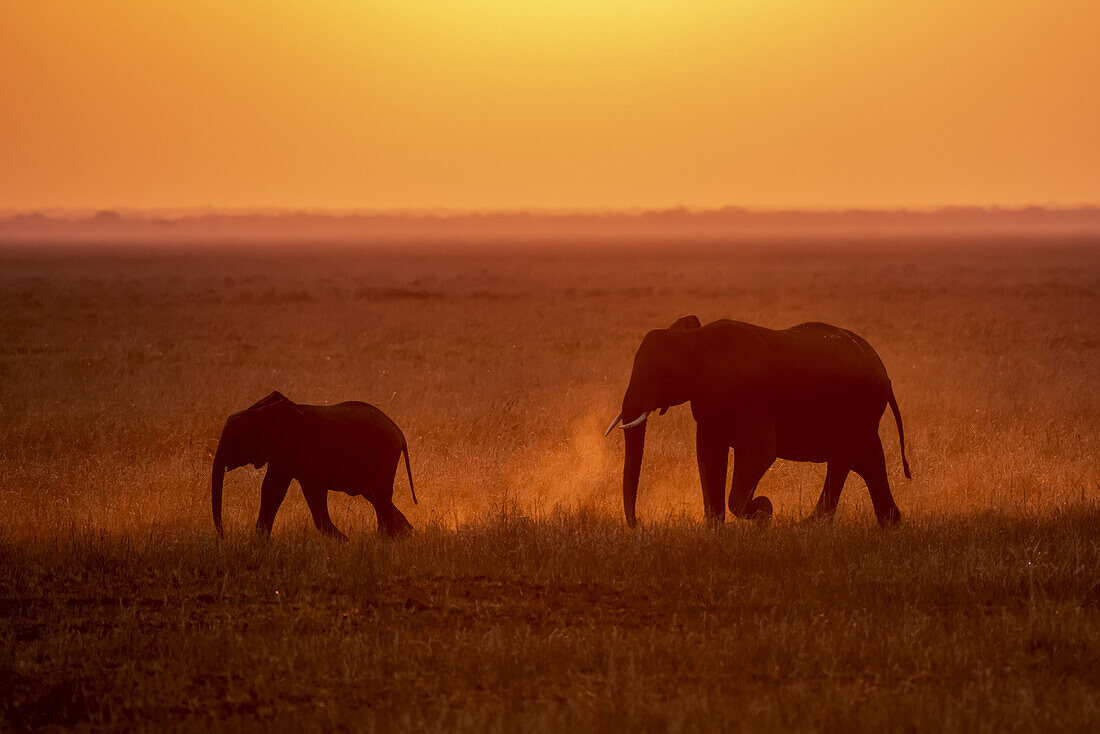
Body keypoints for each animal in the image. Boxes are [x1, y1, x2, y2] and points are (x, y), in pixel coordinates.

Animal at [210, 389, 415, 539]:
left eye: (234, 442)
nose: (223, 537)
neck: (260, 411)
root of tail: (400, 434)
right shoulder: (281, 454)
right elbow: (271, 490)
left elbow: (310, 492)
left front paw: (344, 542)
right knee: (376, 497)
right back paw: (403, 534)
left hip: (383, 457)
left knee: (379, 497)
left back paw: (390, 538)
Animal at [602, 316, 910, 528]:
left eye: (663, 373)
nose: (637, 525)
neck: (696, 339)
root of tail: (883, 370)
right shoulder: (708, 402)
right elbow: (708, 455)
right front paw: (714, 530)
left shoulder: (753, 399)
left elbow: (759, 454)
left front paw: (764, 511)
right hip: (865, 411)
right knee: (869, 462)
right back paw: (891, 525)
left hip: (859, 406)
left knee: (843, 461)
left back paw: (809, 526)